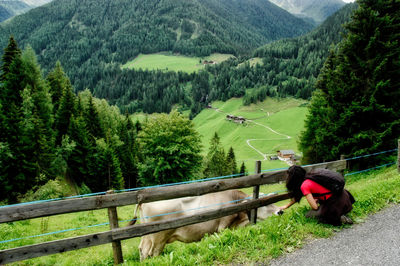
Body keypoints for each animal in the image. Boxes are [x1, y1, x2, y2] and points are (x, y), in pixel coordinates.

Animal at [130, 189, 280, 260]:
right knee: (153, 253)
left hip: (147, 237)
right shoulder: (223, 226)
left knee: (142, 250)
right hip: (159, 238)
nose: (280, 211)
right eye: (264, 203)